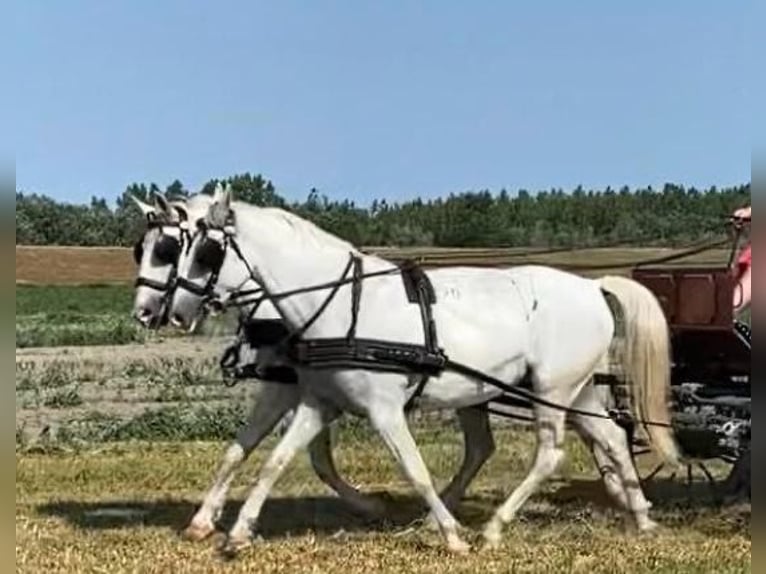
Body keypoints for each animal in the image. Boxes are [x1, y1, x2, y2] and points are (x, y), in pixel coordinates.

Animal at [129, 191, 499, 542]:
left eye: (170, 249)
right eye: (141, 249)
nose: (147, 313)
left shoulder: (293, 388)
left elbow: (317, 460)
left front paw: (370, 505)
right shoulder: (290, 388)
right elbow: (241, 449)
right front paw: (204, 520)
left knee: (478, 448)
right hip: (472, 396)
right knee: (480, 448)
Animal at [167, 184, 678, 555]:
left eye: (205, 251)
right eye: (175, 247)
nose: (174, 311)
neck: (342, 303)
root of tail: (593, 287)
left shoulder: (384, 410)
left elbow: (414, 469)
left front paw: (451, 536)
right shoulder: (319, 401)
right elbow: (277, 459)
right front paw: (236, 532)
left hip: (553, 388)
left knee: (550, 456)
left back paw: (493, 528)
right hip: (577, 387)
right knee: (611, 437)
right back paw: (641, 515)